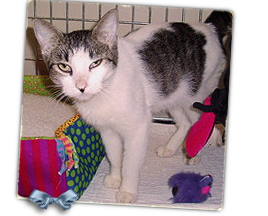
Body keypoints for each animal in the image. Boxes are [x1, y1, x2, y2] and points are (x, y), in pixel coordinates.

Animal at [33, 9, 230, 203]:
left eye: (95, 63)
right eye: (64, 67)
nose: (81, 86)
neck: (104, 93)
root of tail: (209, 26)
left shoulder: (138, 128)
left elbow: (130, 162)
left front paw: (127, 190)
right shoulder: (107, 130)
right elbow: (114, 154)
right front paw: (115, 177)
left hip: (196, 94)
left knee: (202, 122)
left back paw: (194, 153)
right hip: (172, 91)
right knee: (184, 122)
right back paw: (171, 148)